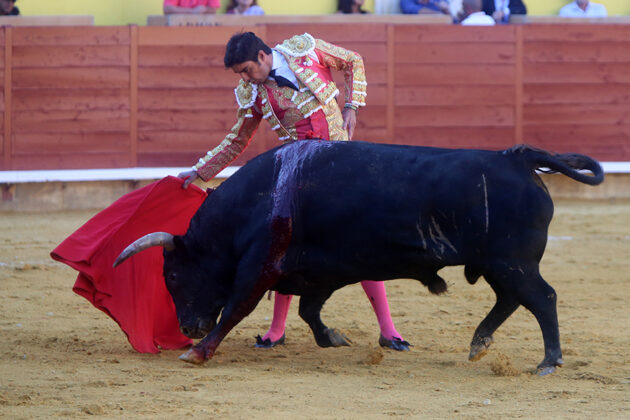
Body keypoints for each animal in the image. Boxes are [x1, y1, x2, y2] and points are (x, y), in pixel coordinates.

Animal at [116, 142, 604, 374]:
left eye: (173, 275)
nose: (187, 328)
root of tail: (516, 158)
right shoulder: (321, 271)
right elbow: (309, 310)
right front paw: (333, 338)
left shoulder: (260, 266)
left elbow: (237, 307)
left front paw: (198, 353)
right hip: (496, 264)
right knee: (511, 299)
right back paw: (479, 343)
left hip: (512, 262)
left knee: (542, 298)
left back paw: (548, 361)